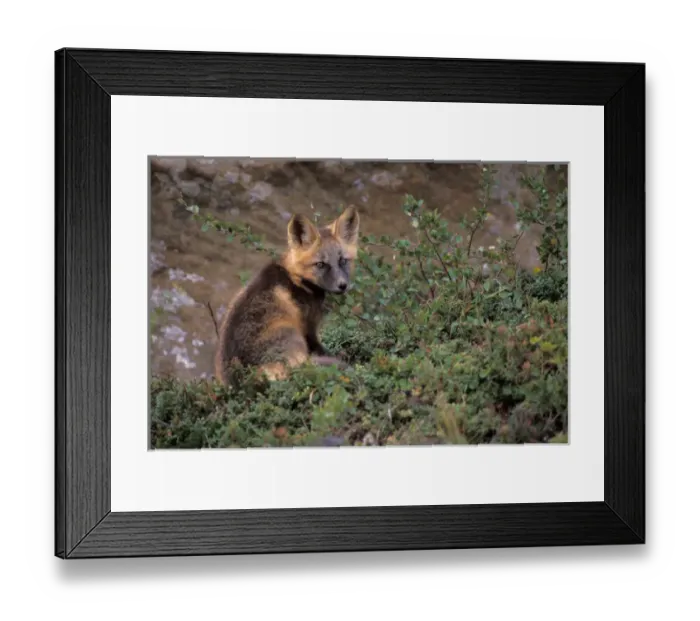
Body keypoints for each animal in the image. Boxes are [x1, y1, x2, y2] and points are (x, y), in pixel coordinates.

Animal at [214, 206, 360, 383]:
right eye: (320, 264)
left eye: (343, 261)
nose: (342, 285)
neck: (297, 279)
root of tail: (241, 379)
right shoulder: (309, 327)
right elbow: (320, 349)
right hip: (292, 335)